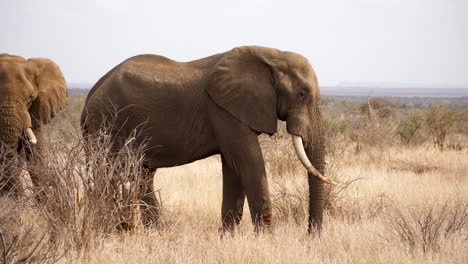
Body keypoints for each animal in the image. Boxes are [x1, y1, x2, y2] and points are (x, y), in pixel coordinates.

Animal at [81, 46, 336, 234]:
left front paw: (227, 236)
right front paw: (265, 238)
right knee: (110, 174)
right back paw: (110, 230)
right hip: (107, 122)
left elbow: (233, 167)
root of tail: (89, 96)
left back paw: (157, 233)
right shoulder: (224, 111)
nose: (310, 236)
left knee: (142, 175)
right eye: (302, 94)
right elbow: (250, 163)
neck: (272, 55)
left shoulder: (230, 112)